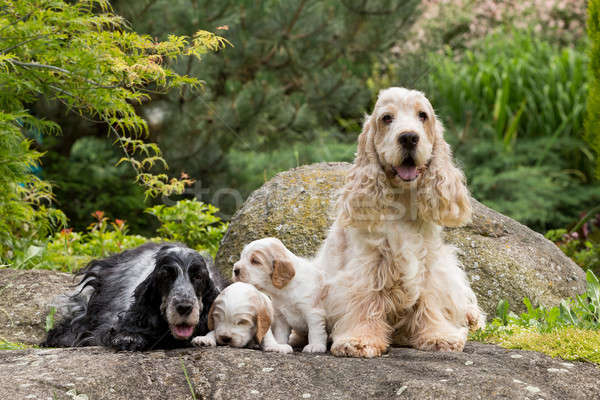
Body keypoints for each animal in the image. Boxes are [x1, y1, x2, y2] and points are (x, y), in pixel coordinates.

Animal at [316, 86, 486, 358]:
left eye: (422, 115)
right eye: (387, 118)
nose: (408, 138)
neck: (403, 203)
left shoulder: (429, 263)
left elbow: (430, 301)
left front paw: (438, 335)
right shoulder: (367, 266)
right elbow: (365, 301)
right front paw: (359, 340)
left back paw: (472, 318)